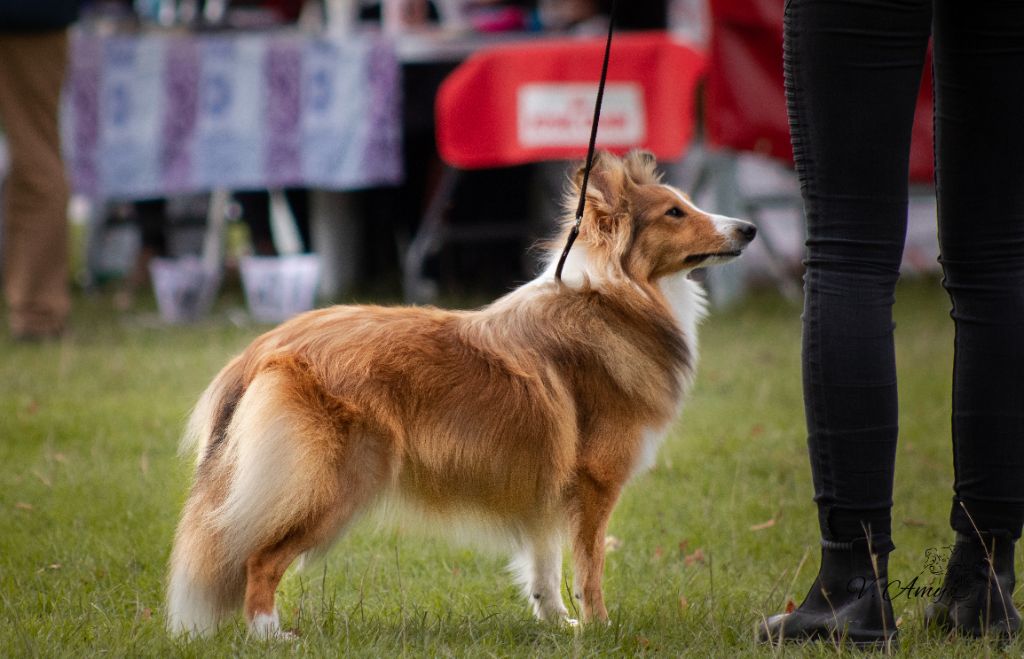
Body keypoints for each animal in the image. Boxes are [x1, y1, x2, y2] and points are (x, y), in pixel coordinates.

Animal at [167, 150, 757, 638]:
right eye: (674, 212)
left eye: (687, 204)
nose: (749, 228)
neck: (615, 293)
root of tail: (263, 347)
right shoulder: (595, 482)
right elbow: (591, 567)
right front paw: (602, 628)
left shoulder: (548, 480)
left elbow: (546, 563)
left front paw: (558, 623)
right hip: (334, 482)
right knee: (259, 560)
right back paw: (271, 635)